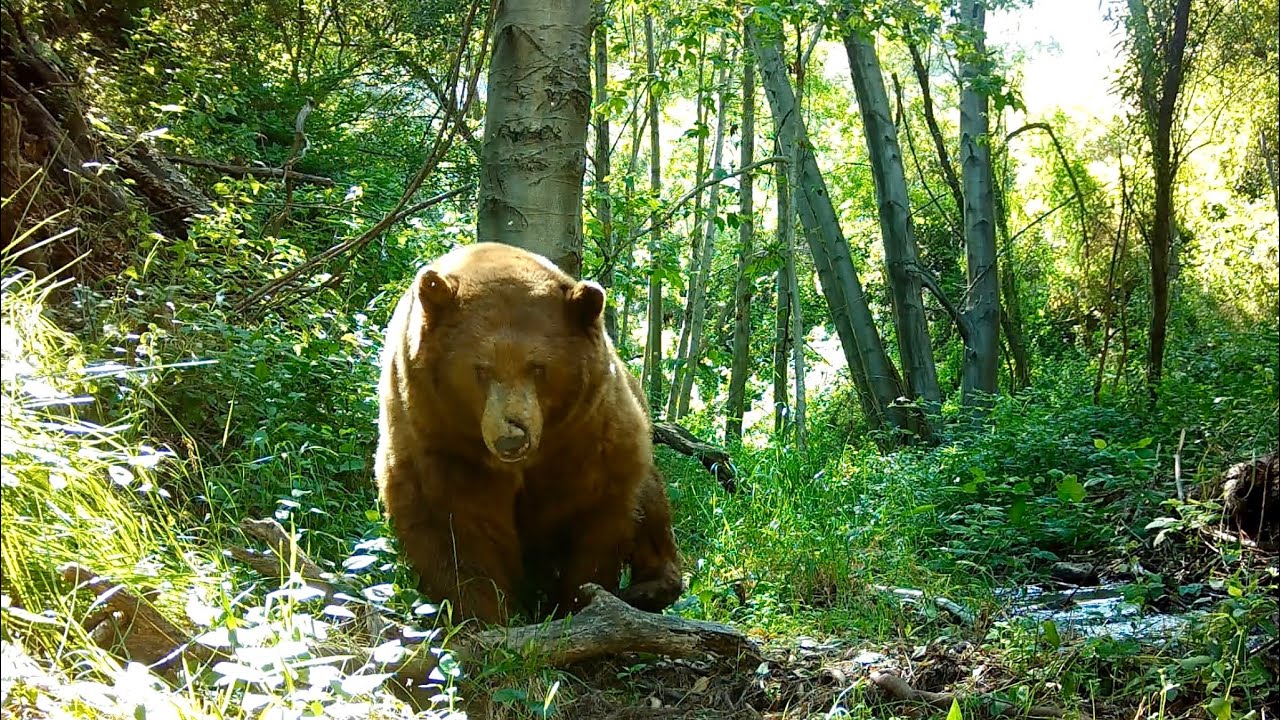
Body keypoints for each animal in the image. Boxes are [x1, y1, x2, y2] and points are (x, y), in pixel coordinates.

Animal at [374, 242, 683, 625]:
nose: (512, 439)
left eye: (538, 367)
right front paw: (484, 615)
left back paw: (648, 587)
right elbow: (456, 528)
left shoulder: (586, 435)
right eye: (480, 369)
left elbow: (597, 515)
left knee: (652, 503)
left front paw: (578, 601)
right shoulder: (439, 440)